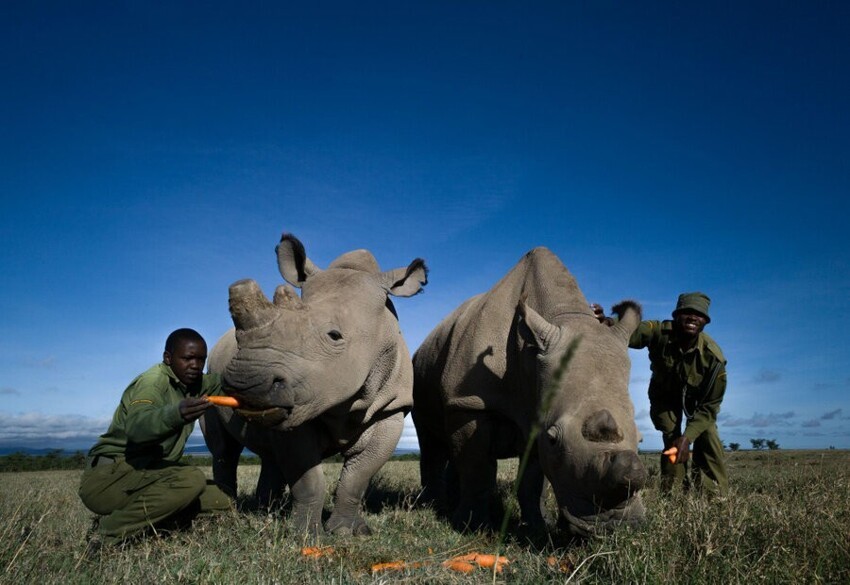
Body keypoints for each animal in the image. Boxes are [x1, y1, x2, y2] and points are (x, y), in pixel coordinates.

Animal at [203, 233, 428, 532]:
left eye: (334, 335)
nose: (247, 384)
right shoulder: (300, 405)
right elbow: (308, 480)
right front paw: (305, 535)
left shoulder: (391, 408)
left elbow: (358, 476)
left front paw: (347, 531)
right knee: (224, 450)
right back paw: (229, 512)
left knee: (266, 452)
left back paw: (267, 510)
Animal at [410, 244, 644, 536]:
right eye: (554, 438)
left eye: (641, 439)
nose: (612, 526)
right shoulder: (468, 402)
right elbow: (477, 467)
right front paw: (472, 527)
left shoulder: (535, 411)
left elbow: (532, 481)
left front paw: (537, 527)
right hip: (419, 373)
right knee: (431, 442)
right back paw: (433, 507)